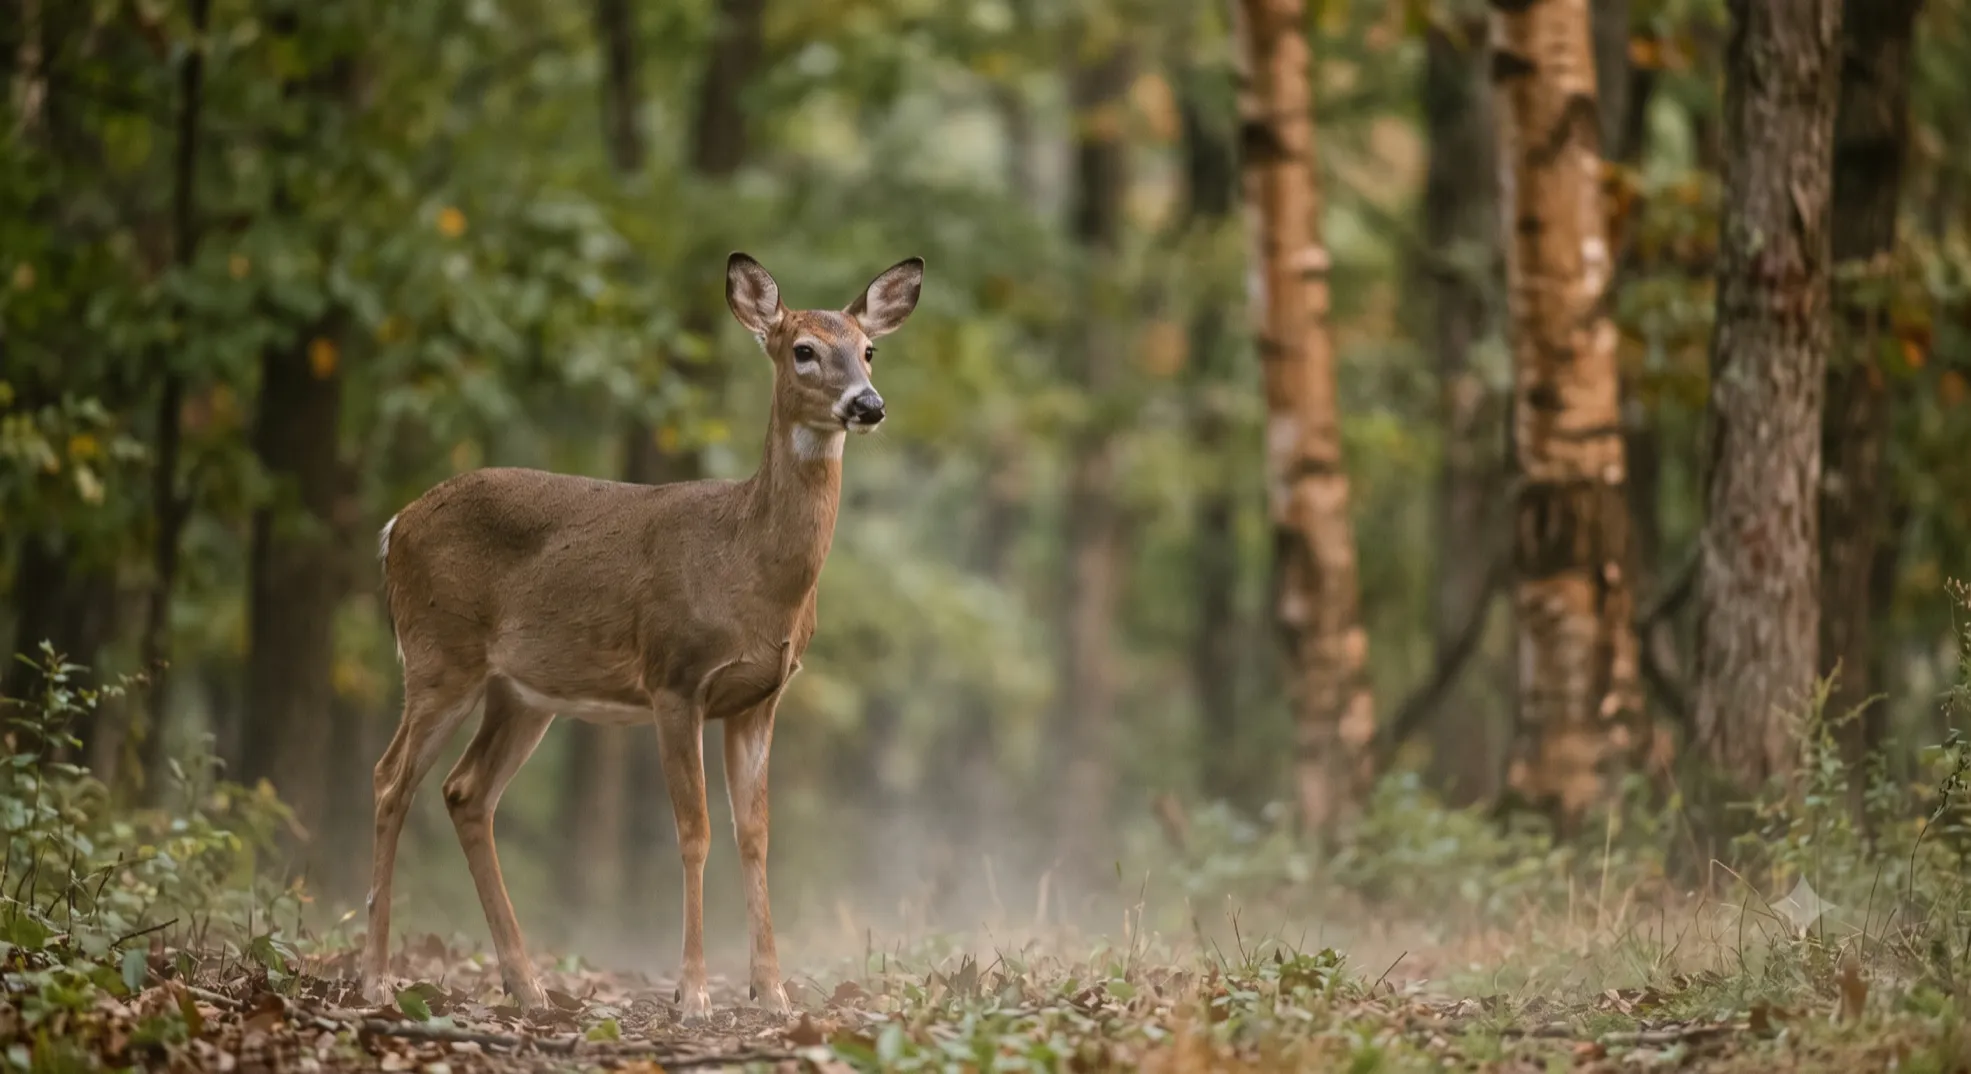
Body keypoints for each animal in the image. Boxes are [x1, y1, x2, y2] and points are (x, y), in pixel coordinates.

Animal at [360, 252, 923, 1020]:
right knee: (391, 779)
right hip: (438, 653)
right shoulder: (674, 678)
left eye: (868, 350)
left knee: (465, 791)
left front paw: (772, 993)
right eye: (803, 350)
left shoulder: (760, 697)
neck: (747, 567)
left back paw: (526, 984)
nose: (868, 405)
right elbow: (695, 832)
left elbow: (755, 836)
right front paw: (694, 994)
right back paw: (374, 977)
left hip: (523, 693)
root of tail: (396, 528)